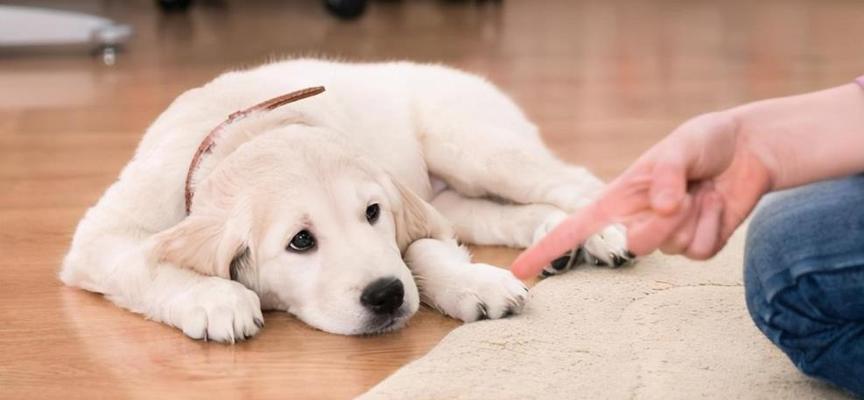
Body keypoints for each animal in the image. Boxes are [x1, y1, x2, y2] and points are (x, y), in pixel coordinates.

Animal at [59, 58, 628, 340]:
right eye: (300, 241)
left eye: (372, 213)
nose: (386, 296)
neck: (246, 131)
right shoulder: (100, 238)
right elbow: (144, 263)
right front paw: (216, 299)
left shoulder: (410, 210)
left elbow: (422, 250)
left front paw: (472, 283)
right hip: (458, 192)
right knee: (502, 213)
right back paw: (556, 239)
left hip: (473, 145)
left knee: (572, 180)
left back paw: (602, 233)